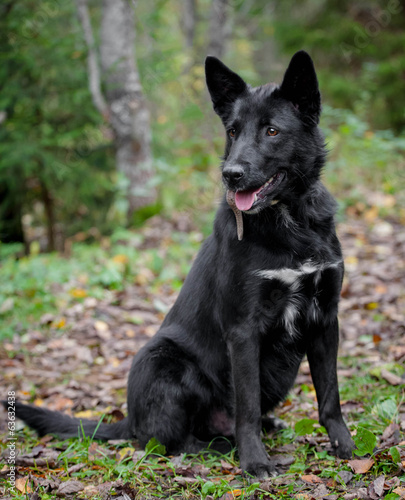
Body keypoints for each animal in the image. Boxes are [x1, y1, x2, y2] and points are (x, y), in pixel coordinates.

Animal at [8, 50, 354, 476]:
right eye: (233, 132)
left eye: (272, 131)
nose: (230, 175)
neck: (289, 222)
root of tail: (130, 418)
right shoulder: (243, 331)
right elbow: (247, 408)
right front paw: (255, 461)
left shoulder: (325, 319)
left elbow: (330, 396)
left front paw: (344, 446)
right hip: (162, 359)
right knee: (162, 441)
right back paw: (217, 447)